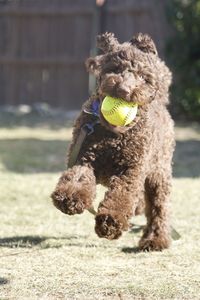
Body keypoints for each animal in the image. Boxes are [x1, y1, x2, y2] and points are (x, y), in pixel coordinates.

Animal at [51, 32, 175, 251]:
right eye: (115, 68)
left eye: (143, 77)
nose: (124, 90)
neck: (113, 134)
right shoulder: (84, 155)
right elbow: (78, 176)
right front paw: (70, 198)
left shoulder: (131, 169)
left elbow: (122, 195)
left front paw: (110, 222)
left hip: (158, 173)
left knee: (159, 208)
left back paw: (155, 240)